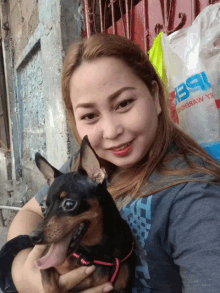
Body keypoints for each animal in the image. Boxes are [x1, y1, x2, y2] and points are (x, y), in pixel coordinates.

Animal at [29, 135, 136, 292]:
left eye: (69, 204)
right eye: (43, 207)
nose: (33, 237)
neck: (95, 252)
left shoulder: (122, 288)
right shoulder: (45, 265)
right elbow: (50, 285)